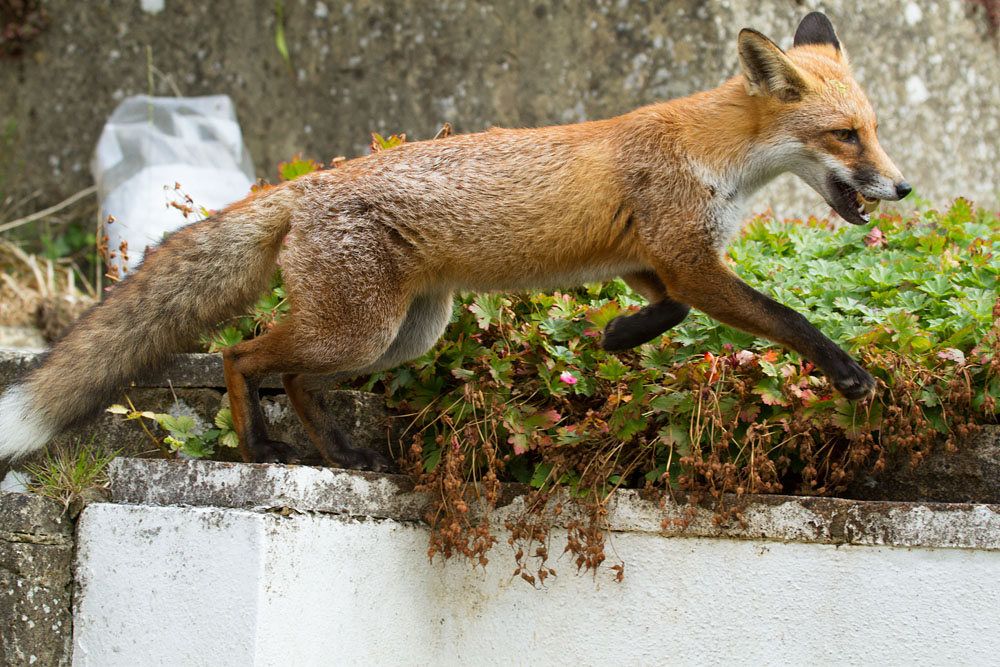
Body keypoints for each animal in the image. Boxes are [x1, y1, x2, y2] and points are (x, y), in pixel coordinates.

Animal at [0, 13, 909, 471]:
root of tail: (302, 185)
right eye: (847, 136)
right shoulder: (686, 258)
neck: (717, 156)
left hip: (400, 335)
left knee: (290, 375)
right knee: (243, 356)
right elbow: (785, 319)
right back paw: (260, 445)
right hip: (359, 331)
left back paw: (341, 451)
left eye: (875, 130)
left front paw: (617, 336)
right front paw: (848, 372)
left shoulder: (651, 262)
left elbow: (668, 316)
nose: (902, 189)